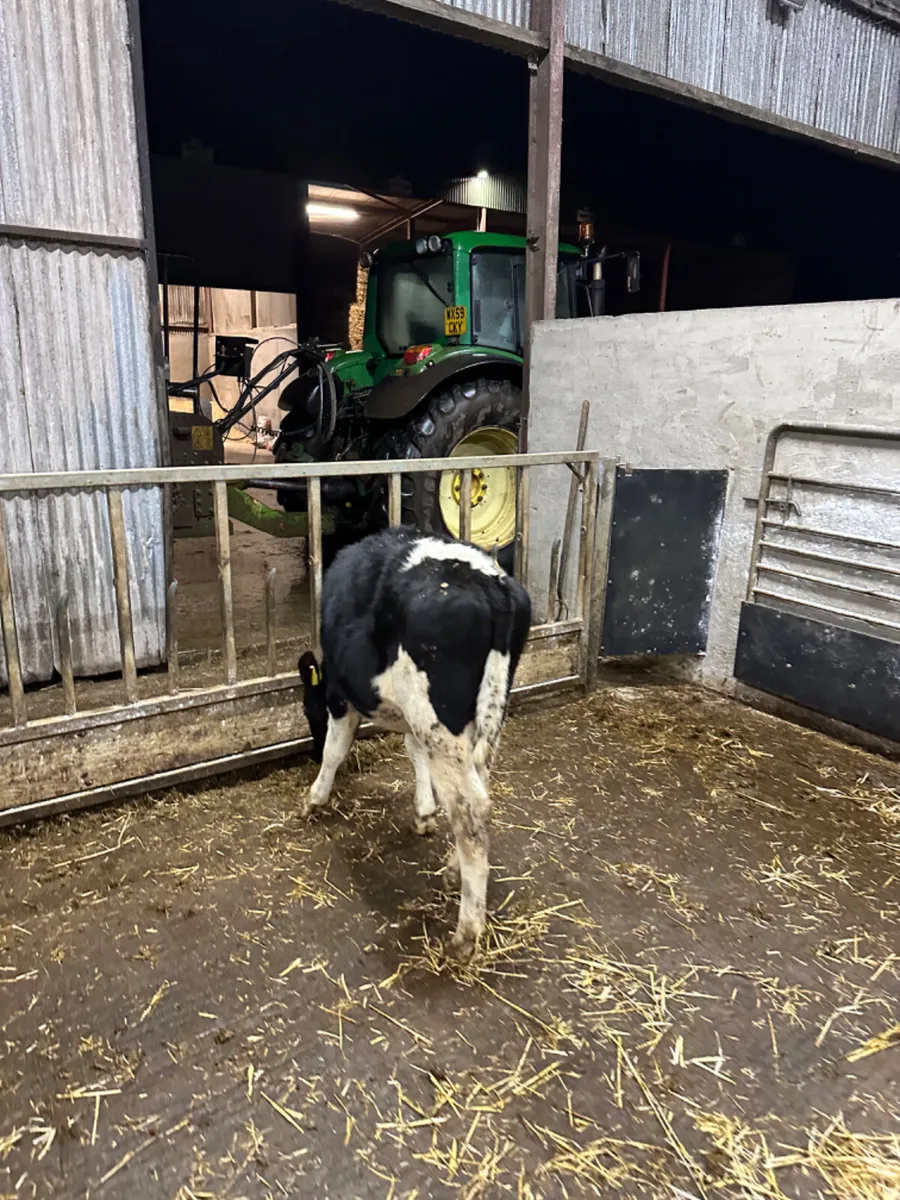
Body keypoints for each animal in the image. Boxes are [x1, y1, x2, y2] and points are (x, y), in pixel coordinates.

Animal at [297, 526, 531, 960]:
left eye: (308, 710)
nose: (309, 749)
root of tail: (491, 583)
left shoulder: (340, 694)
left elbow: (336, 749)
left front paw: (315, 797)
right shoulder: (413, 716)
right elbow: (413, 751)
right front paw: (424, 811)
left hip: (440, 718)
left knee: (471, 808)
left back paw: (466, 934)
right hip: (484, 715)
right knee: (479, 788)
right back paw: (455, 866)